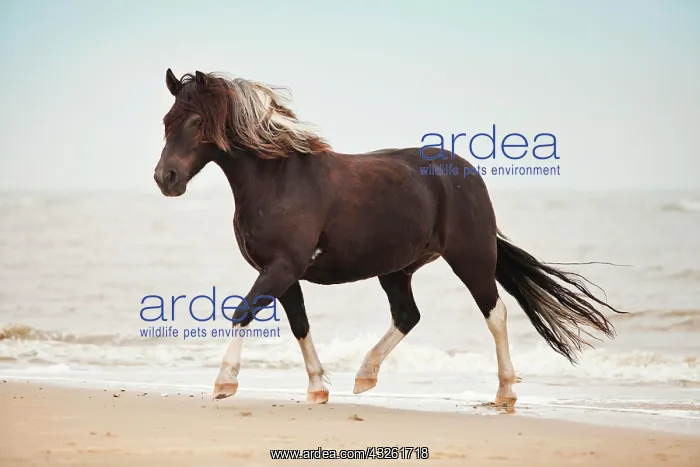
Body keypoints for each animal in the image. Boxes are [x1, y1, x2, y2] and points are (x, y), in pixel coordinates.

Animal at [153, 68, 625, 408]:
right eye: (166, 121)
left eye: (196, 120)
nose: (165, 178)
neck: (277, 179)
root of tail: (467, 174)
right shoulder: (282, 273)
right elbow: (299, 324)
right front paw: (317, 389)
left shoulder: (282, 267)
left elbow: (242, 311)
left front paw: (224, 383)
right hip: (397, 269)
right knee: (407, 315)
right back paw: (365, 376)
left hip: (470, 257)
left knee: (496, 314)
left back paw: (505, 393)